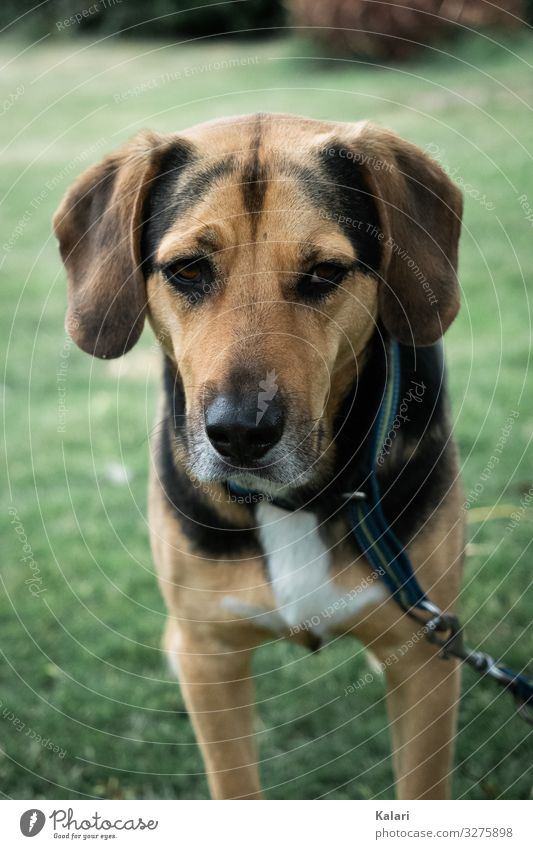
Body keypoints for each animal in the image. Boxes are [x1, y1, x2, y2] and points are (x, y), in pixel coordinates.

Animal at [52, 111, 464, 796]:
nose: (241, 433)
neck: (295, 500)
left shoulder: (426, 659)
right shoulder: (207, 658)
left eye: (324, 273)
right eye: (189, 270)